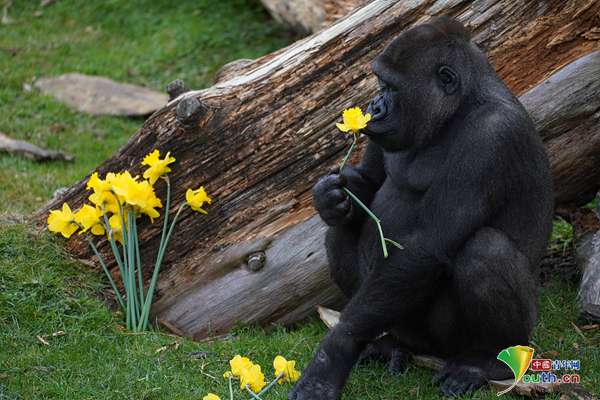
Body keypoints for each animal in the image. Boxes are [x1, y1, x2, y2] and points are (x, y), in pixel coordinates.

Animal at [290, 14, 552, 396]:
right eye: (380, 83)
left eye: (392, 87)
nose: (374, 106)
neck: (460, 106)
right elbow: (368, 184)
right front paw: (330, 197)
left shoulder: (491, 136)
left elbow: (428, 245)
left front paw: (334, 353)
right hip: (402, 327)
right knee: (339, 237)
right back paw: (389, 344)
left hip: (470, 339)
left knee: (485, 251)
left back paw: (484, 360)